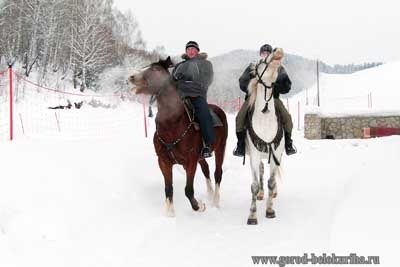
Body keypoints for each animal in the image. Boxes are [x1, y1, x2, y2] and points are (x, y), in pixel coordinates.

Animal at [129, 57, 228, 218]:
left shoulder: (191, 161)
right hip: (201, 157)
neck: (172, 125)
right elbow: (168, 188)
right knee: (206, 169)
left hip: (220, 148)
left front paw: (199, 206)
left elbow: (188, 190)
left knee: (217, 173)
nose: (131, 77)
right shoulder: (164, 161)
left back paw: (215, 201)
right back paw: (210, 193)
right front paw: (170, 212)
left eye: (156, 69)